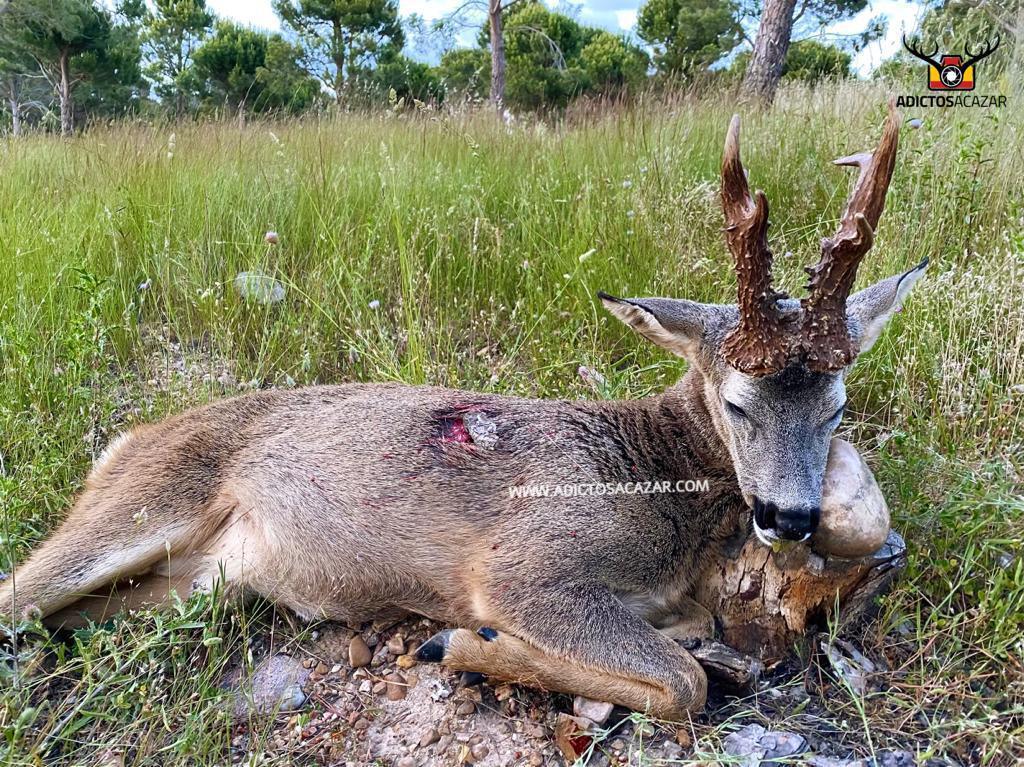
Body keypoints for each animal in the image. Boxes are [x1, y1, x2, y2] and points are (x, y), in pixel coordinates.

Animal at [2, 107, 929, 716]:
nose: (790, 515)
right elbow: (682, 680)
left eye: (838, 406)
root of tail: (128, 439)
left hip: (191, 581)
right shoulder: (527, 564)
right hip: (143, 504)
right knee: (17, 594)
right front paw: (465, 645)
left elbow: (698, 657)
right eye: (737, 402)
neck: (656, 476)